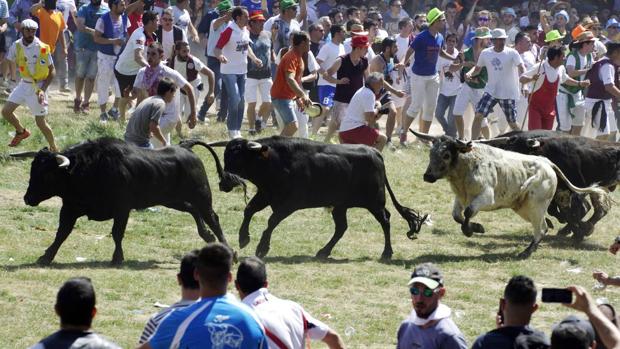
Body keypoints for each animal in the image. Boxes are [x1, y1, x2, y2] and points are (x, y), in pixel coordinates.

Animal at [14, 136, 242, 264]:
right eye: (33, 169)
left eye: (47, 175)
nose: (28, 198)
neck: (87, 168)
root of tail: (186, 147)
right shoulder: (70, 208)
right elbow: (62, 233)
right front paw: (46, 257)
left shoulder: (122, 209)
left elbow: (117, 233)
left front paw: (117, 258)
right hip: (172, 199)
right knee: (193, 211)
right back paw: (207, 236)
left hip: (201, 196)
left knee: (213, 218)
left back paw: (229, 251)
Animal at [206, 135, 428, 258]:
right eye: (226, 156)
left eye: (239, 157)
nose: (223, 183)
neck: (276, 162)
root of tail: (375, 152)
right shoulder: (266, 195)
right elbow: (249, 210)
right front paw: (243, 238)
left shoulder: (289, 204)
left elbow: (271, 221)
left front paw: (262, 248)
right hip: (340, 206)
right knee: (341, 227)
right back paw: (323, 251)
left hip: (375, 202)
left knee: (385, 220)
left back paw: (387, 253)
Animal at [412, 129, 612, 256]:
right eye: (431, 153)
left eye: (446, 154)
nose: (427, 176)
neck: (467, 165)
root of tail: (546, 162)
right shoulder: (460, 198)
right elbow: (457, 215)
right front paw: (477, 227)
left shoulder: (486, 198)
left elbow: (468, 213)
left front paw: (471, 230)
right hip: (523, 208)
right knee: (547, 225)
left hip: (535, 207)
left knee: (542, 228)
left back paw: (527, 252)